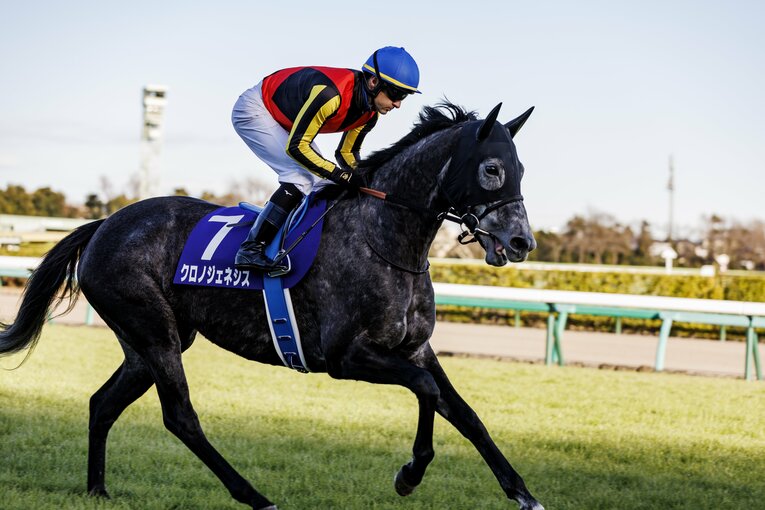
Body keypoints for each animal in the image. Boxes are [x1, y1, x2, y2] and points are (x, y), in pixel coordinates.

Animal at [0, 101, 543, 510]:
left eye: (521, 170)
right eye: (491, 169)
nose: (521, 242)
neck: (385, 238)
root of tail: (104, 225)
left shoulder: (415, 350)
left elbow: (466, 414)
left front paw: (524, 494)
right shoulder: (347, 358)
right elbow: (426, 391)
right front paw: (408, 475)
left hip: (146, 342)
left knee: (103, 403)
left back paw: (97, 489)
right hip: (154, 334)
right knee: (181, 417)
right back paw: (256, 497)